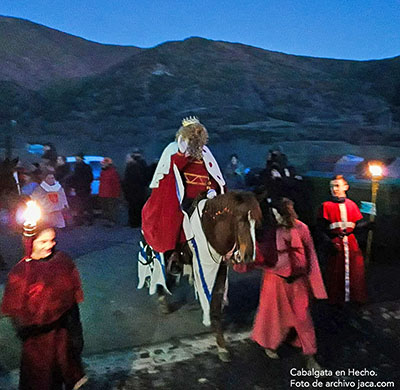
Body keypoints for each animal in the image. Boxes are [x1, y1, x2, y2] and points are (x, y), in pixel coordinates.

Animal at [138, 190, 262, 362]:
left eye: (257, 223)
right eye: (240, 220)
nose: (248, 256)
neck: (212, 229)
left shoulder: (221, 267)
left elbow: (216, 300)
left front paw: (221, 345)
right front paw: (221, 345)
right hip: (158, 252)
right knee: (159, 272)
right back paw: (163, 300)